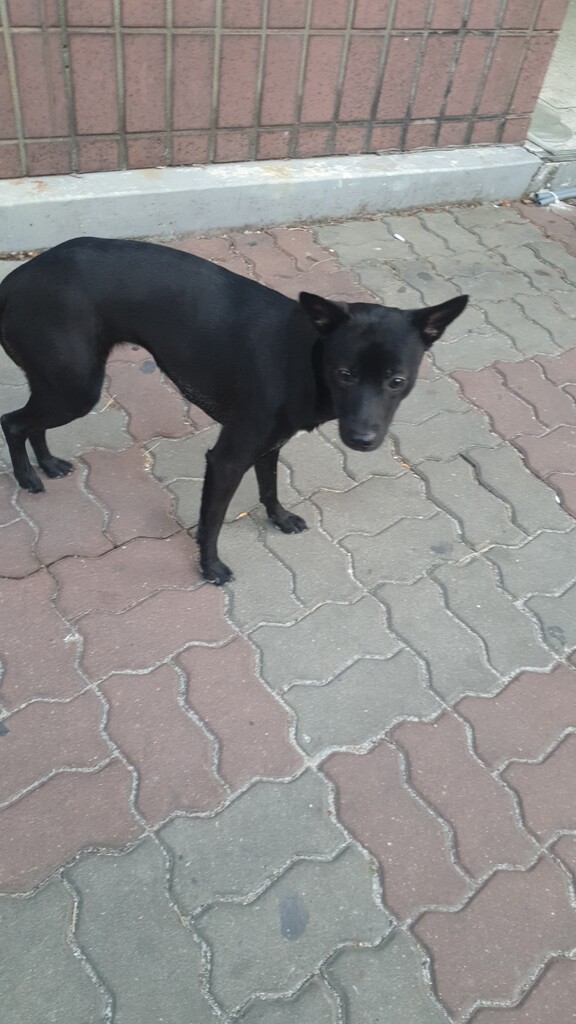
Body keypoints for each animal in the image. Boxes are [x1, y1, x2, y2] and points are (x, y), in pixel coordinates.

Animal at [0, 237, 468, 583]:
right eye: (345, 373)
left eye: (397, 381)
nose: (362, 440)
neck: (303, 357)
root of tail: (15, 279)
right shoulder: (227, 460)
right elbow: (212, 521)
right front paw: (210, 567)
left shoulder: (268, 447)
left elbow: (269, 488)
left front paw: (279, 519)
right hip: (75, 389)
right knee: (13, 422)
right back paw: (27, 476)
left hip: (59, 386)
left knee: (32, 422)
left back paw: (47, 464)